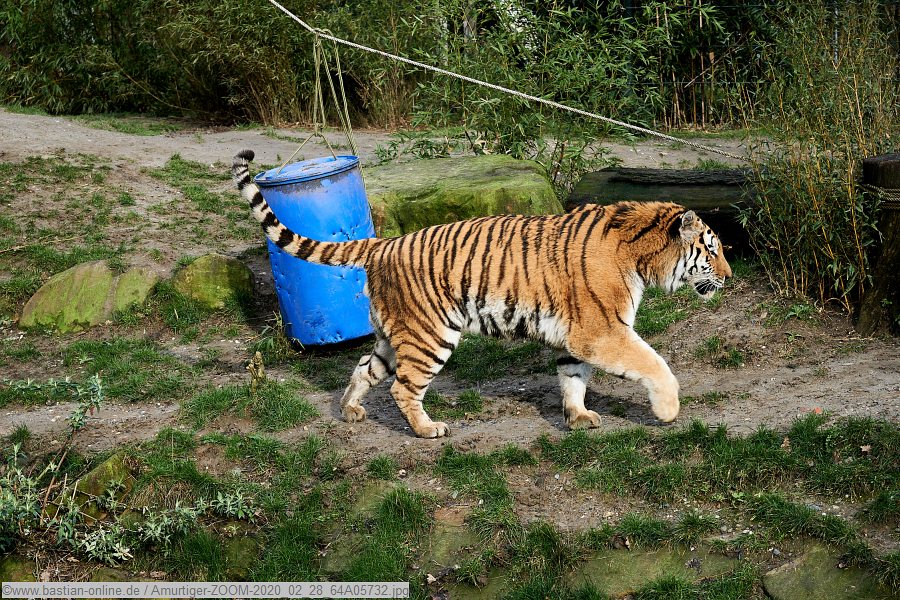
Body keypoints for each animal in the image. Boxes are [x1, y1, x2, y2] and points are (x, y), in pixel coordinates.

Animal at [232, 149, 732, 438]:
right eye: (713, 249)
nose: (729, 277)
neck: (641, 254)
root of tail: (383, 243)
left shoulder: (577, 337)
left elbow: (573, 377)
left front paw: (578, 418)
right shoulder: (603, 331)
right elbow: (655, 363)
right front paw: (668, 411)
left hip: (393, 336)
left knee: (364, 370)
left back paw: (351, 410)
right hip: (430, 335)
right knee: (401, 387)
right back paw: (428, 429)